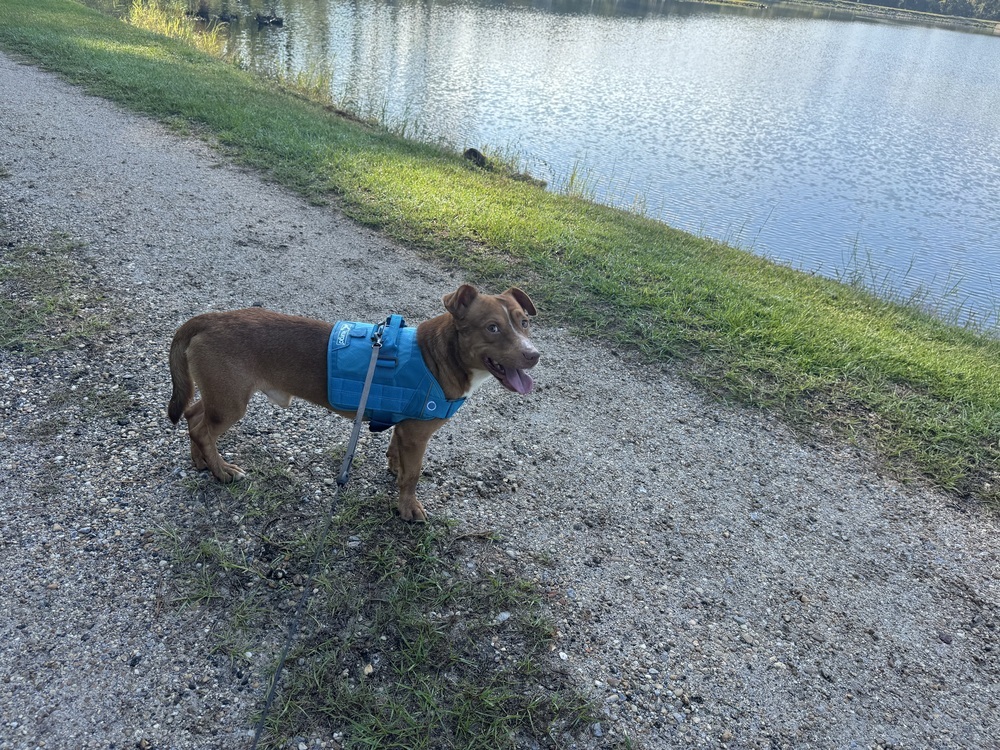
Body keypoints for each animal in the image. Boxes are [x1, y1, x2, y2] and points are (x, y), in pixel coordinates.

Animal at [167, 284, 540, 520]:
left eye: (524, 322)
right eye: (492, 328)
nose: (534, 355)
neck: (439, 355)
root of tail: (209, 319)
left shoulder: (403, 429)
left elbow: (396, 454)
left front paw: (394, 468)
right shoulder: (417, 435)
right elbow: (413, 475)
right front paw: (408, 508)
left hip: (219, 396)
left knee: (193, 417)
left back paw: (202, 461)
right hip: (231, 402)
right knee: (202, 429)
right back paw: (221, 470)